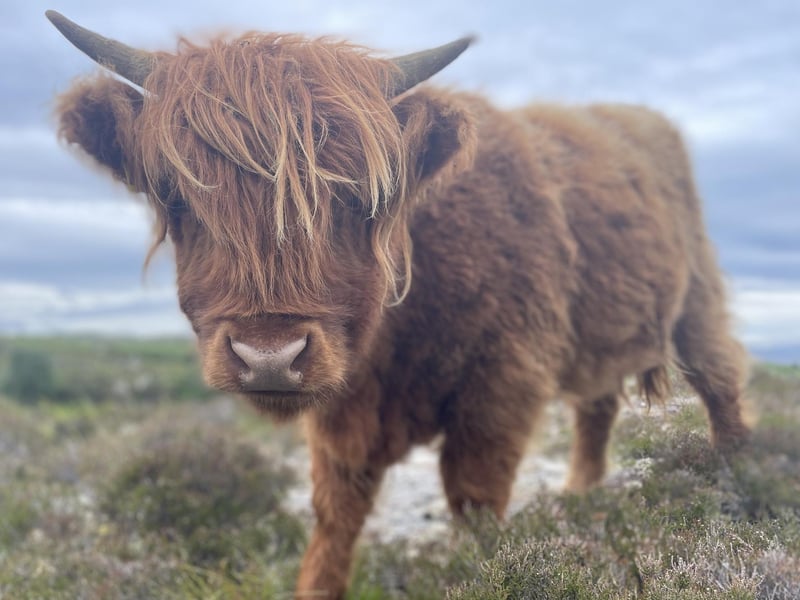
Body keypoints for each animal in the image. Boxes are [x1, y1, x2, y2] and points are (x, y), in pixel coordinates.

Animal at [47, 10, 750, 598]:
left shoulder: (501, 386)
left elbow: (475, 505)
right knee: (598, 405)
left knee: (719, 376)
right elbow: (335, 517)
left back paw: (741, 484)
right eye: (176, 196)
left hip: (697, 296)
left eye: (362, 197)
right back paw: (580, 496)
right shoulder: (343, 417)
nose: (269, 356)